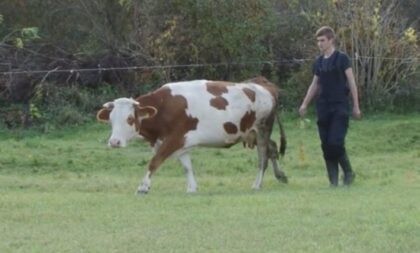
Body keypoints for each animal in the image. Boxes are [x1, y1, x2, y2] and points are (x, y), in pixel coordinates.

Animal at [96, 76, 288, 193]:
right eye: (111, 120)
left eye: (129, 119)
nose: (114, 142)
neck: (163, 107)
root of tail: (262, 83)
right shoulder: (181, 142)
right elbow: (187, 166)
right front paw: (191, 188)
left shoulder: (173, 139)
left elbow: (154, 162)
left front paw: (143, 187)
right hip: (251, 133)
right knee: (272, 148)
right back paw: (280, 175)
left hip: (262, 129)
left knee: (263, 157)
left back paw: (256, 184)